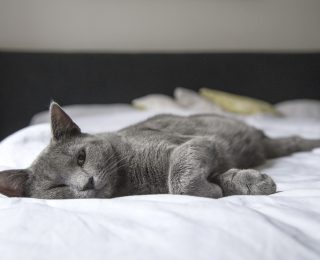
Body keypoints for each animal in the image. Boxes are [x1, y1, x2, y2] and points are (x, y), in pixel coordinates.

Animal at [0, 102, 320, 199]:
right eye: (56, 187)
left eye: (81, 157)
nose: (87, 183)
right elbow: (194, 180)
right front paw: (245, 183)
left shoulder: (192, 143)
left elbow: (178, 177)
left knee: (289, 140)